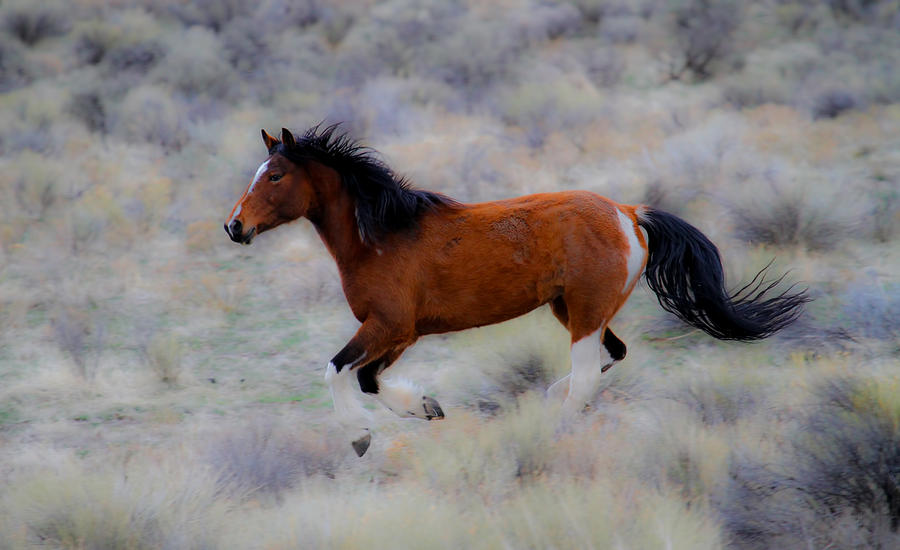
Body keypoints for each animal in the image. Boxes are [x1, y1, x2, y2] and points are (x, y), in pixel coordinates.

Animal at [223, 127, 808, 460]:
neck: (382, 236)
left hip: (584, 312)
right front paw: (427, 408)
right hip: (571, 308)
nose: (234, 227)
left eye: (274, 176)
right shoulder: (401, 334)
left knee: (589, 375)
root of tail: (629, 213)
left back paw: (555, 429)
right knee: (610, 358)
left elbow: (336, 370)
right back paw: (547, 401)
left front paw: (359, 437)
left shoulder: (388, 325)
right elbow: (366, 378)